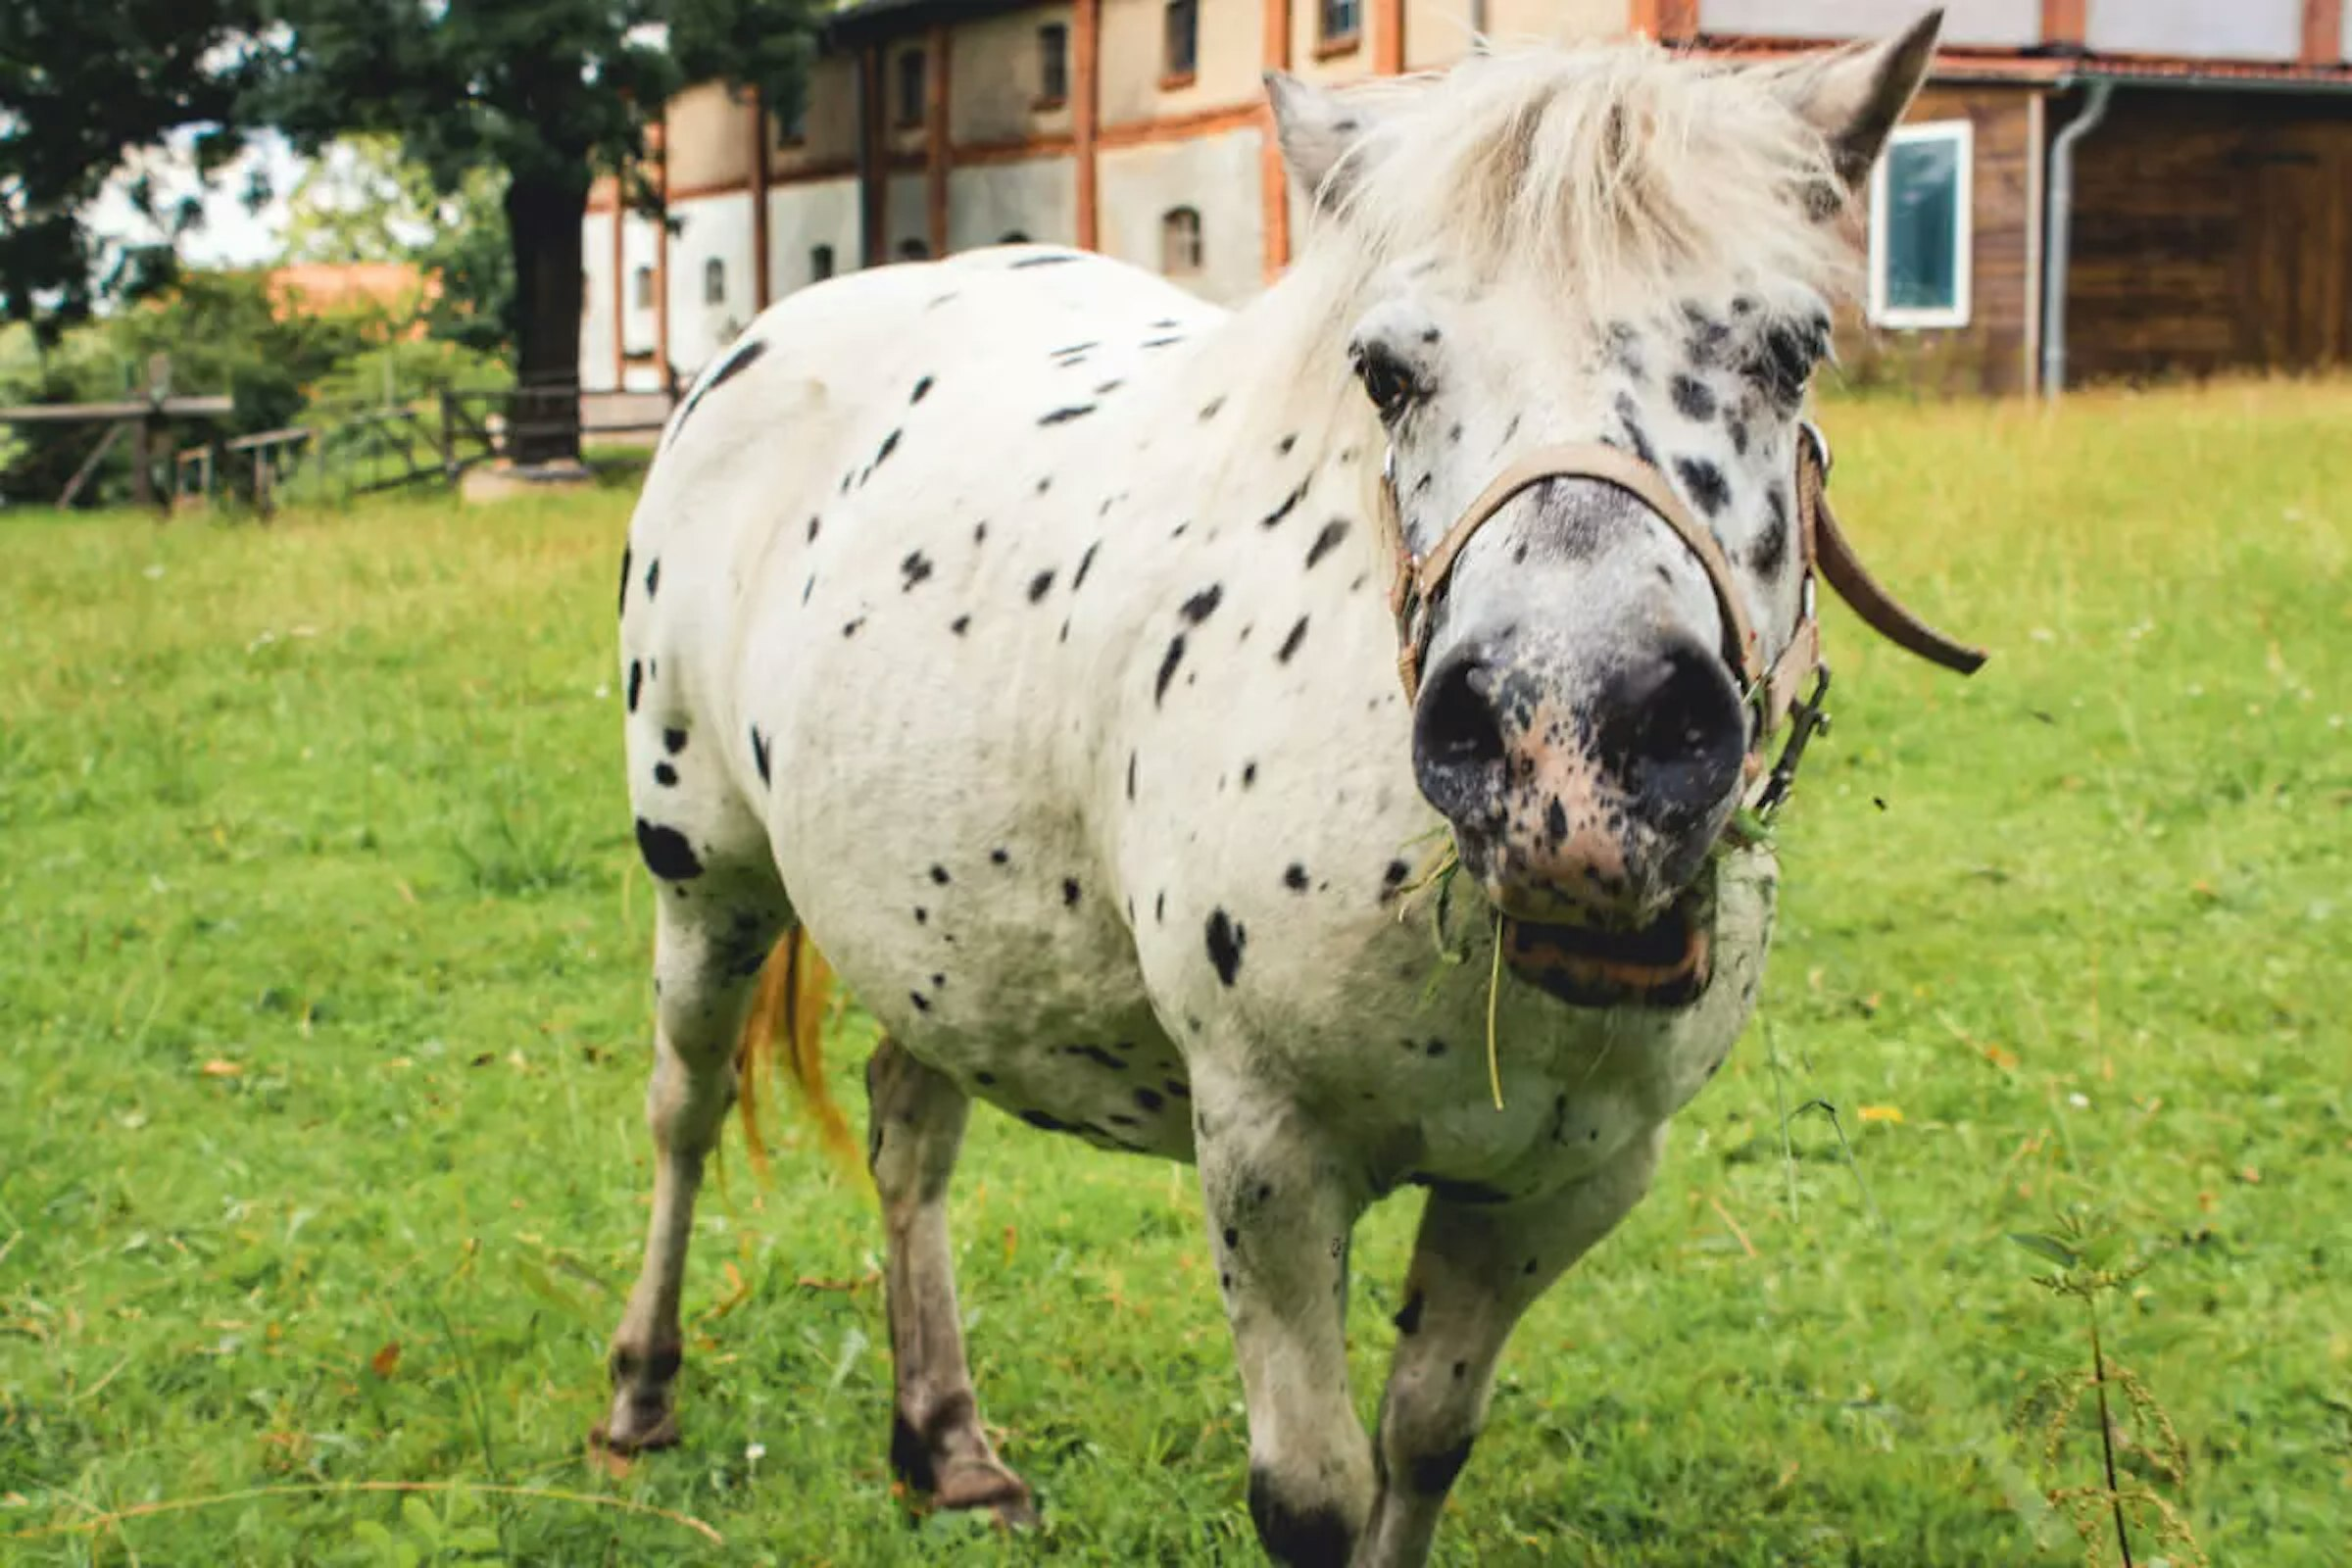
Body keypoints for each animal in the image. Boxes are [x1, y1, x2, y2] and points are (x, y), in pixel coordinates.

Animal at [593, 13, 1978, 1563]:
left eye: (1793, 349)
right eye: (1384, 372)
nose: (1570, 738)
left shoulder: (1555, 1190)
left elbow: (1423, 1443)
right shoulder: (1268, 1158)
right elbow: (1312, 1494)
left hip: (935, 934)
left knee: (909, 1132)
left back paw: (945, 1443)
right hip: (706, 878)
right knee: (685, 1108)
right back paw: (641, 1393)